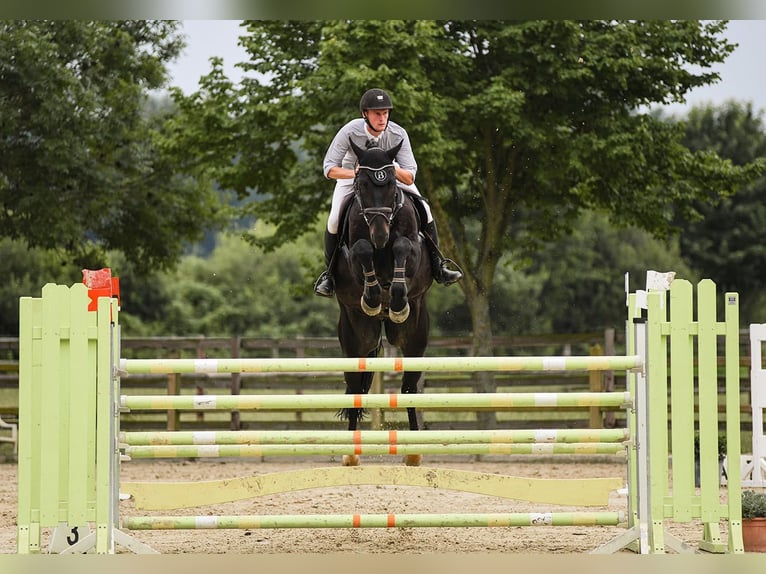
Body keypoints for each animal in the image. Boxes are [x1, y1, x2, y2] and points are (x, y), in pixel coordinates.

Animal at [334, 140, 436, 468]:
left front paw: (398, 299)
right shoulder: (355, 253)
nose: (380, 235)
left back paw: (414, 452)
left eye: (391, 183)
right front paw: (372, 297)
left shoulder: (413, 248)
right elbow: (362, 250)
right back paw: (351, 453)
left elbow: (403, 246)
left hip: (414, 339)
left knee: (409, 389)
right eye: (363, 184)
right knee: (355, 389)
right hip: (356, 340)